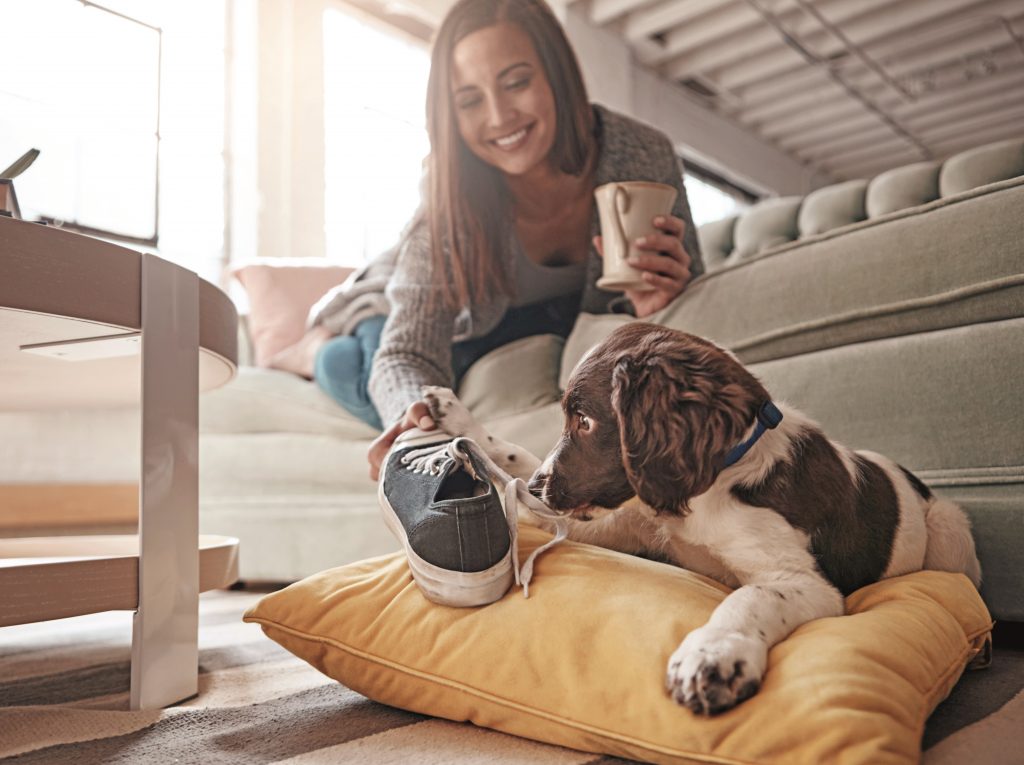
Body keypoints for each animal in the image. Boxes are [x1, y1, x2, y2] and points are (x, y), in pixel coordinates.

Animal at [417, 319, 983, 716]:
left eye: (585, 420)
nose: (539, 489)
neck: (709, 488)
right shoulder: (617, 516)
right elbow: (516, 461)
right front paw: (460, 424)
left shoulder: (804, 581)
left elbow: (750, 597)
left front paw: (713, 657)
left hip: (949, 530)